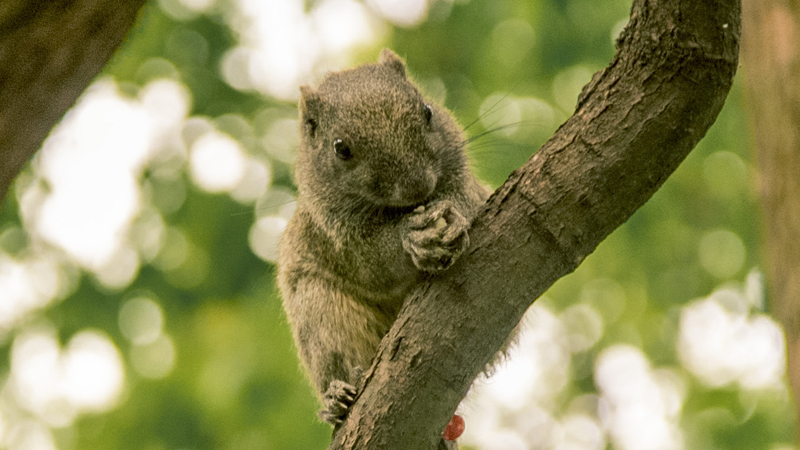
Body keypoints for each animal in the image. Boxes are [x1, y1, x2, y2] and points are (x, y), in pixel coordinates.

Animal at [276, 48, 488, 442]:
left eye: (427, 111)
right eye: (341, 149)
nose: (417, 186)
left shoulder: (466, 181)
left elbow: (467, 201)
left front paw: (452, 218)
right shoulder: (337, 233)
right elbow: (373, 263)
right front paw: (412, 239)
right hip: (319, 311)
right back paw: (338, 399)